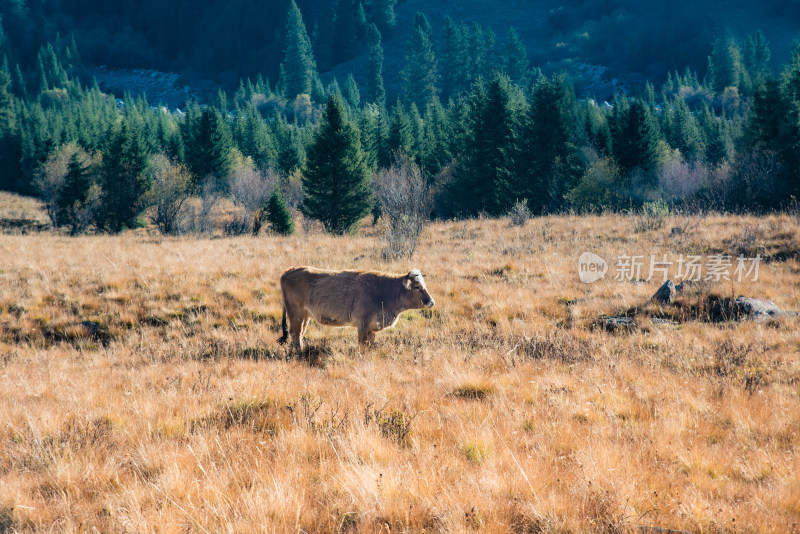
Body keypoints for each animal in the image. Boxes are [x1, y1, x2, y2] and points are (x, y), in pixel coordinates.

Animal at [278, 268, 434, 352]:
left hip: (305, 315)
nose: (431, 301)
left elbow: (370, 344)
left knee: (299, 333)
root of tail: (289, 271)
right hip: (296, 313)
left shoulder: (371, 327)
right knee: (295, 333)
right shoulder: (362, 324)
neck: (383, 290)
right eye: (417, 287)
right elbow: (362, 344)